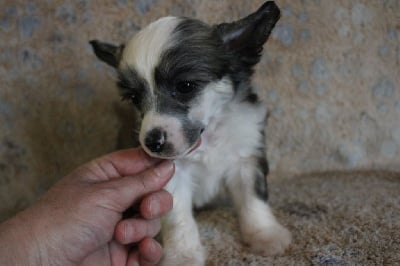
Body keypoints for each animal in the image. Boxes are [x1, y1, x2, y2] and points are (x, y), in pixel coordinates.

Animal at [90, 1, 290, 264]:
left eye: (185, 86)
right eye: (134, 98)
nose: (152, 142)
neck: (208, 137)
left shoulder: (245, 157)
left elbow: (253, 198)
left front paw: (264, 234)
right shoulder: (171, 175)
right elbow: (178, 219)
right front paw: (182, 255)